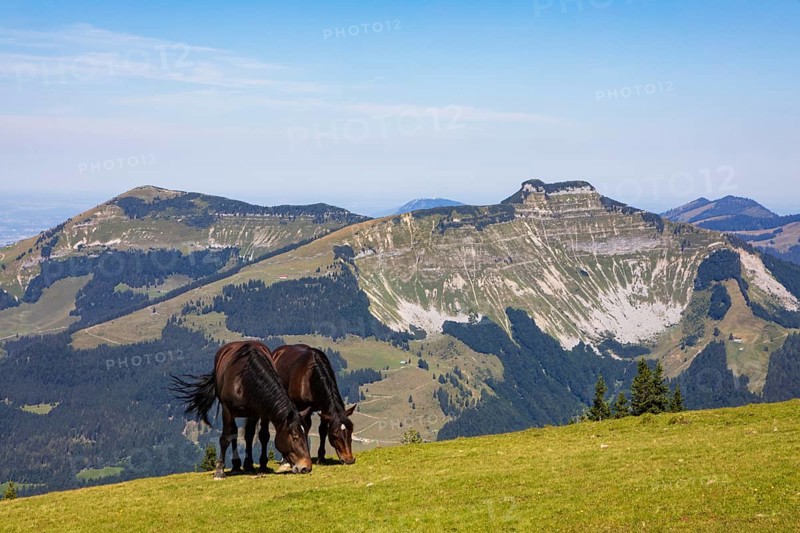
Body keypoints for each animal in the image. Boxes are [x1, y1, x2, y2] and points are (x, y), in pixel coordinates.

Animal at [170, 340, 313, 478]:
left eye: (305, 434)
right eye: (295, 437)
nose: (306, 467)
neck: (245, 380)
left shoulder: (259, 412)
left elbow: (260, 436)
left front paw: (260, 465)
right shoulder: (227, 410)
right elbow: (226, 437)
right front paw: (219, 471)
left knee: (249, 435)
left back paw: (248, 465)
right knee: (233, 432)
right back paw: (236, 465)